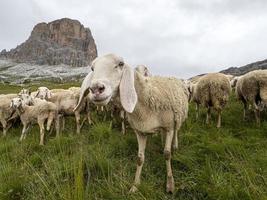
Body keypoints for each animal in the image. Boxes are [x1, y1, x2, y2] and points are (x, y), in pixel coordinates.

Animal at [74, 53, 189, 194]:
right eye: (92, 68)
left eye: (121, 64)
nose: (96, 89)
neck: (146, 100)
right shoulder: (140, 131)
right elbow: (140, 158)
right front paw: (135, 185)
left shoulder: (168, 127)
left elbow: (167, 154)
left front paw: (170, 183)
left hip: (176, 118)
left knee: (176, 131)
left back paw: (175, 145)